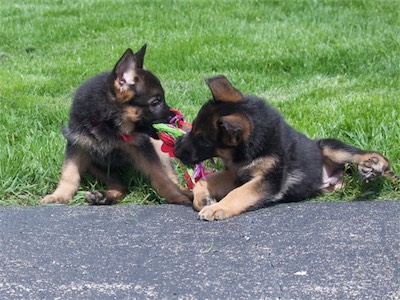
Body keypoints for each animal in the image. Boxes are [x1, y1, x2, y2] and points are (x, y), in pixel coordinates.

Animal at [41, 44, 191, 206]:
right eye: (156, 102)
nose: (176, 120)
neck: (109, 125)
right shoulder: (77, 145)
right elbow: (69, 173)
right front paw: (59, 195)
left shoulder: (143, 148)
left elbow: (161, 177)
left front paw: (175, 196)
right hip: (98, 168)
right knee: (120, 186)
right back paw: (102, 196)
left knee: (171, 178)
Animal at [174, 75, 390, 220]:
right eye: (193, 128)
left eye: (203, 141)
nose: (175, 150)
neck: (253, 147)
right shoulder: (236, 174)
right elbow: (204, 181)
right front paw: (203, 199)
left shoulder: (269, 179)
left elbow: (239, 193)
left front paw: (217, 208)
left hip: (329, 146)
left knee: (367, 154)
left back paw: (376, 164)